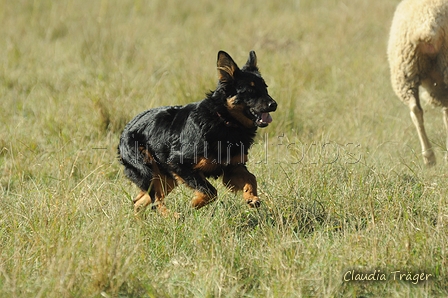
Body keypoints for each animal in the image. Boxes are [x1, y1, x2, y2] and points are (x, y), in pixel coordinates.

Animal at [118, 50, 276, 215]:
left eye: (265, 88)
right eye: (250, 90)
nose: (274, 104)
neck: (223, 120)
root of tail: (126, 129)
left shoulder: (233, 167)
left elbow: (251, 177)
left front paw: (251, 197)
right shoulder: (179, 164)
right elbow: (210, 192)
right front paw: (194, 204)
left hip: (165, 178)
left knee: (139, 201)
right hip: (149, 171)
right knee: (156, 200)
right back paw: (173, 216)